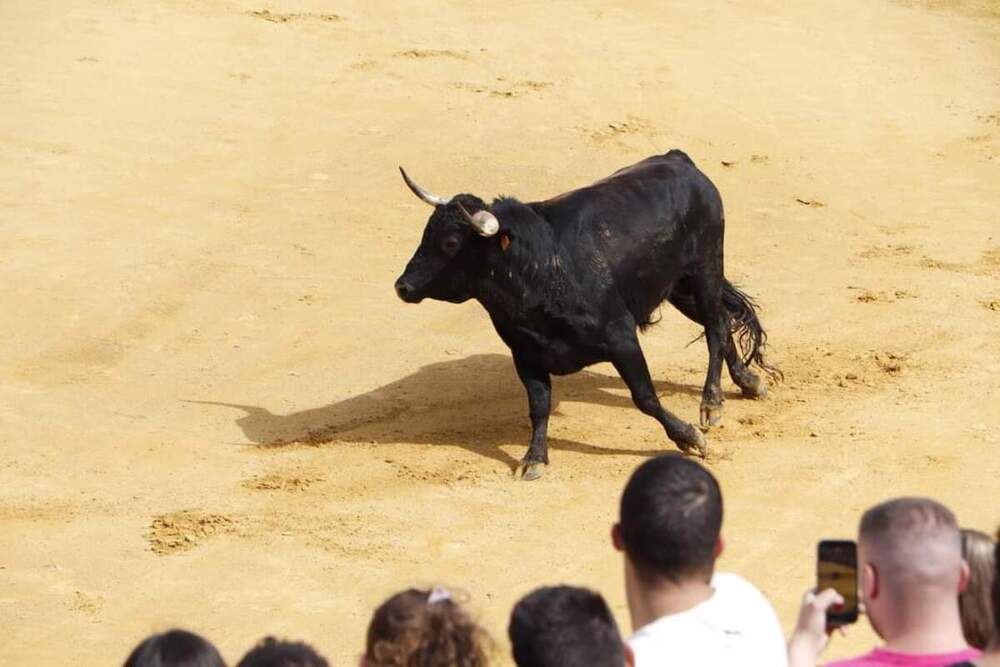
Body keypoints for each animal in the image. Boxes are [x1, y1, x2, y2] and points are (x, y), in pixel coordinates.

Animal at [392, 150, 780, 480]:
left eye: (450, 244)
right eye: (426, 234)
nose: (402, 286)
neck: (541, 269)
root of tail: (679, 160)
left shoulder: (621, 339)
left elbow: (645, 397)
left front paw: (690, 438)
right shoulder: (526, 355)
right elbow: (539, 407)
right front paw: (533, 460)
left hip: (705, 268)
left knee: (715, 326)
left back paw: (711, 403)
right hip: (679, 287)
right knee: (721, 321)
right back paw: (749, 382)